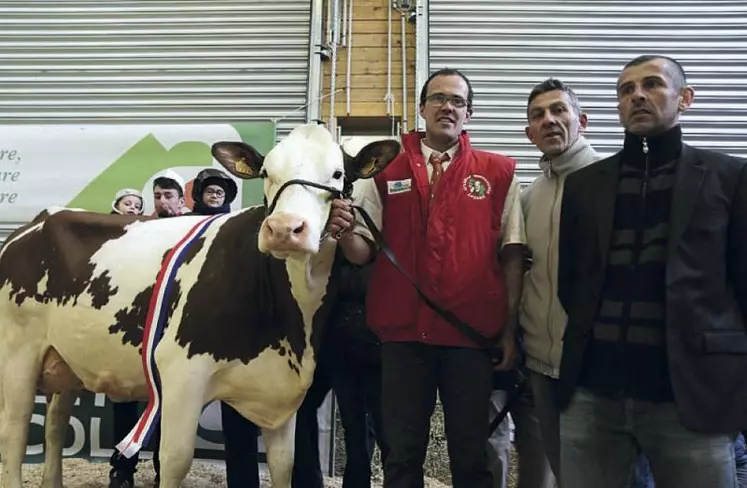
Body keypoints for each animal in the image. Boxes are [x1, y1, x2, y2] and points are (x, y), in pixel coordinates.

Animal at [0, 125, 400, 488]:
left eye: (338, 174)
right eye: (266, 172)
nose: (285, 228)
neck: (292, 326)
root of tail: (37, 222)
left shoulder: (281, 391)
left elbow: (283, 465)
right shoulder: (181, 375)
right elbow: (174, 460)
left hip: (63, 361)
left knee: (54, 427)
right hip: (17, 356)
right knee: (14, 432)